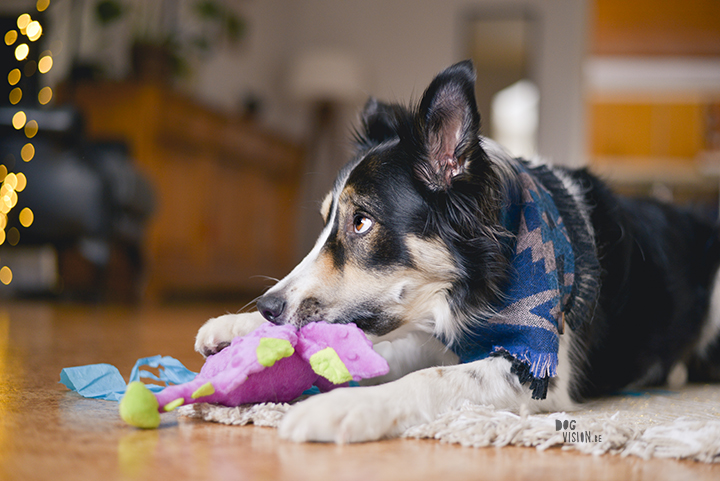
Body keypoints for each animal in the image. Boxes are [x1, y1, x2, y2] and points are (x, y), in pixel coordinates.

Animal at [194, 61, 720, 442]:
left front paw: (344, 407)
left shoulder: (536, 369)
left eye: (361, 222)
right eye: (327, 220)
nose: (268, 307)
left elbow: (430, 380)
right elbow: (384, 348)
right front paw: (239, 329)